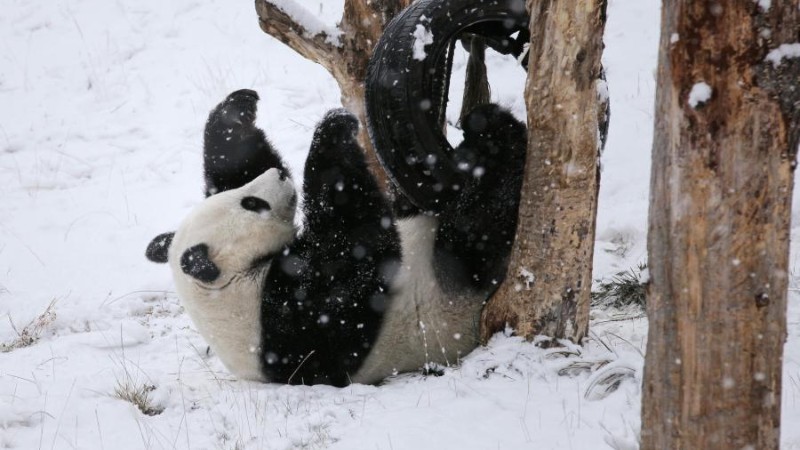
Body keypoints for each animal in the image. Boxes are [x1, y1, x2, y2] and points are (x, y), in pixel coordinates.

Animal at [146, 91, 526, 386]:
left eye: (244, 195)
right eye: (252, 203)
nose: (279, 175)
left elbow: (233, 164)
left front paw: (237, 110)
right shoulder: (290, 325)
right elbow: (356, 250)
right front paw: (333, 130)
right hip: (452, 291)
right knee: (475, 229)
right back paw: (495, 132)